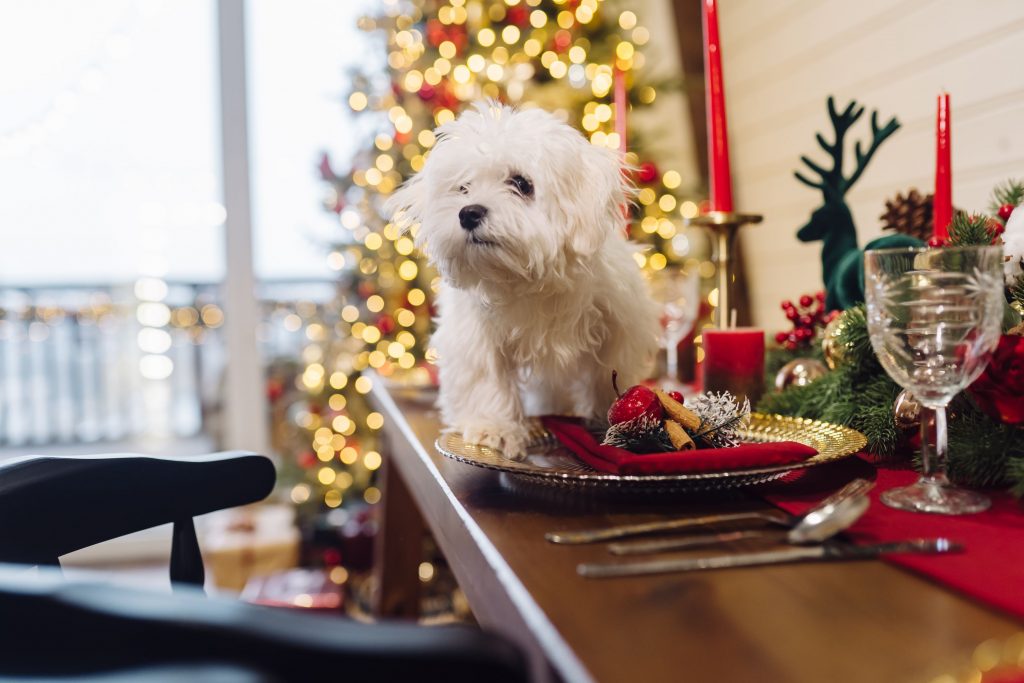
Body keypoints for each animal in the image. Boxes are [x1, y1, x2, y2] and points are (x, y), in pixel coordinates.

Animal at [387, 102, 659, 458]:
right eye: (463, 187)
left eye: (521, 183)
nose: (468, 212)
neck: (526, 276)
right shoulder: (477, 336)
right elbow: (487, 378)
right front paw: (494, 428)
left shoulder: (617, 327)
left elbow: (606, 374)